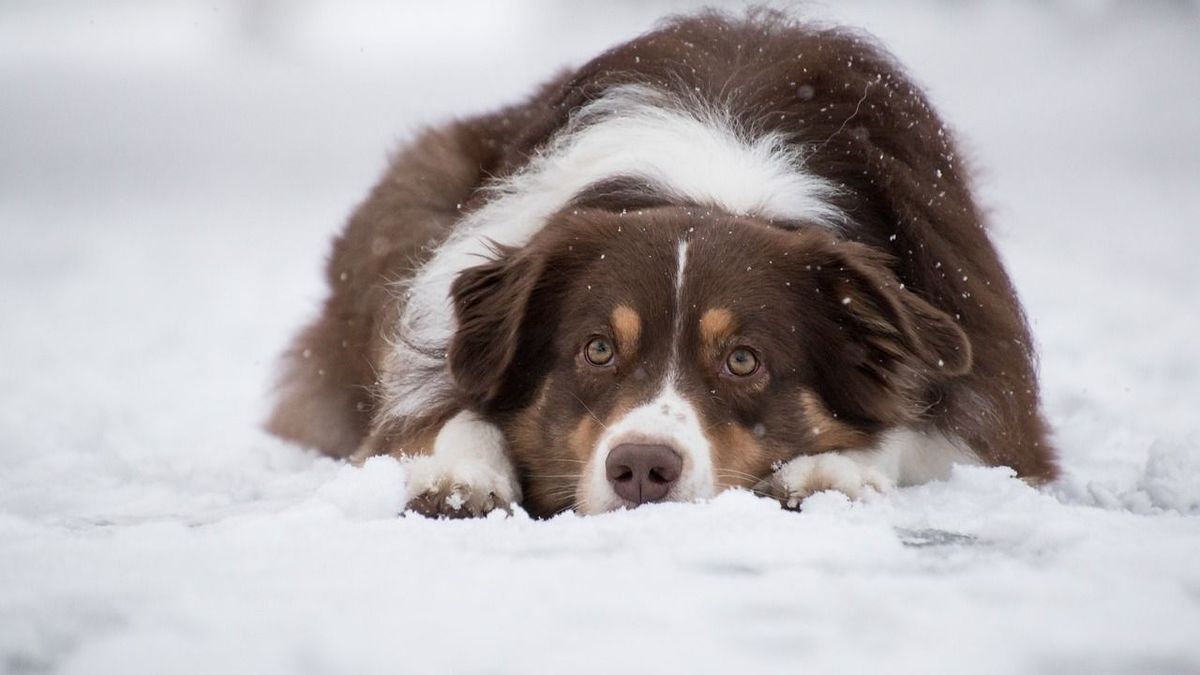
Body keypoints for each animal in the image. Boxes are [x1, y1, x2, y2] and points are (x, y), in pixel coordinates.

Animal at [267, 9, 1056, 514]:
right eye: (596, 349)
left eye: (743, 360)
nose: (642, 468)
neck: (715, 182)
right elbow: (444, 411)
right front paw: (460, 473)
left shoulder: (992, 386)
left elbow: (924, 429)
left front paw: (833, 468)